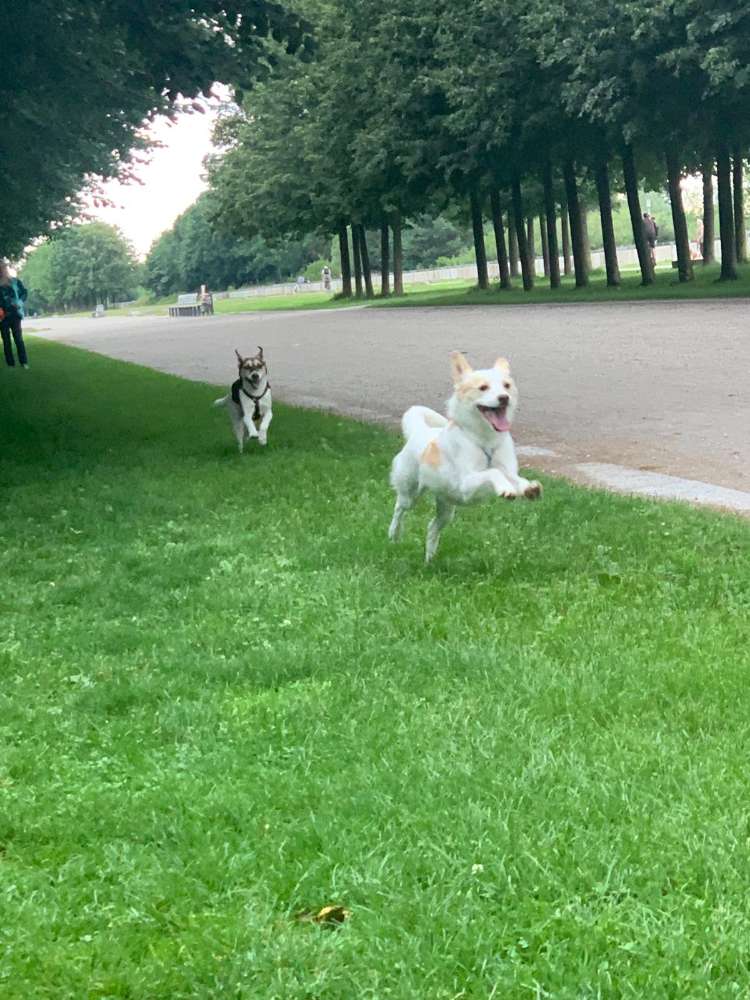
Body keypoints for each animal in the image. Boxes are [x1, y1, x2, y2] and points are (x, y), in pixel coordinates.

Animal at [390, 352, 544, 564]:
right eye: (483, 387)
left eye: (506, 386)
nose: (504, 398)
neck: (485, 440)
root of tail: (420, 431)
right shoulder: (466, 482)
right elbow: (493, 472)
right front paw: (506, 489)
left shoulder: (507, 469)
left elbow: (513, 476)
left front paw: (529, 488)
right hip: (410, 493)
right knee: (399, 508)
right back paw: (394, 535)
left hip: (446, 508)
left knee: (432, 527)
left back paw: (429, 560)